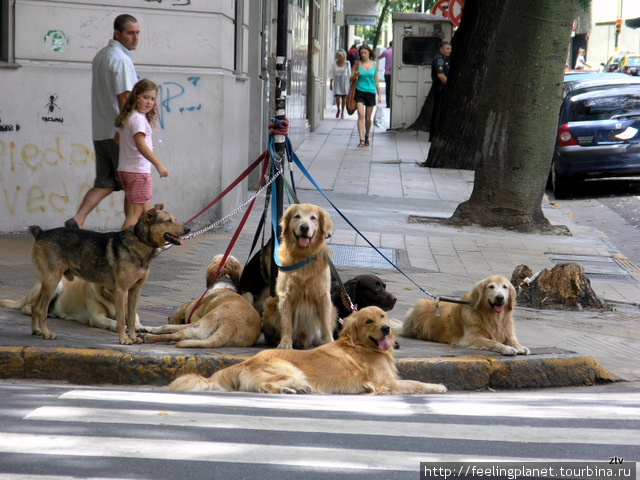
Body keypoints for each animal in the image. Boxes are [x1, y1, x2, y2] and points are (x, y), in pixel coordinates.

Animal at [27, 204, 188, 344]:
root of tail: (41, 232)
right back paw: (47, 333)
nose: (188, 229)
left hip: (48, 283)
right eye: (168, 221)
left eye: (175, 219)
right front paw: (123, 339)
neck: (140, 240)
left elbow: (131, 318)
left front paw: (133, 337)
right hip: (52, 281)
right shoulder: (122, 290)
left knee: (35, 306)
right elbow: (121, 320)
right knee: (41, 310)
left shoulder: (135, 290)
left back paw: (36, 330)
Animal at [171, 308, 450, 394]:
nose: (386, 329)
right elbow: (416, 383)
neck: (359, 344)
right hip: (290, 370)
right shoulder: (385, 384)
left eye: (382, 315)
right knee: (265, 387)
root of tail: (245, 362)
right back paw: (288, 390)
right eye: (368, 321)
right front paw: (438, 387)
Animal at [400, 274, 528, 356]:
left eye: (505, 287)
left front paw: (521, 347)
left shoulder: (507, 333)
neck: (492, 316)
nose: (500, 297)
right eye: (491, 286)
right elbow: (493, 342)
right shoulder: (472, 337)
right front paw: (507, 349)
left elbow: (514, 341)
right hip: (419, 306)